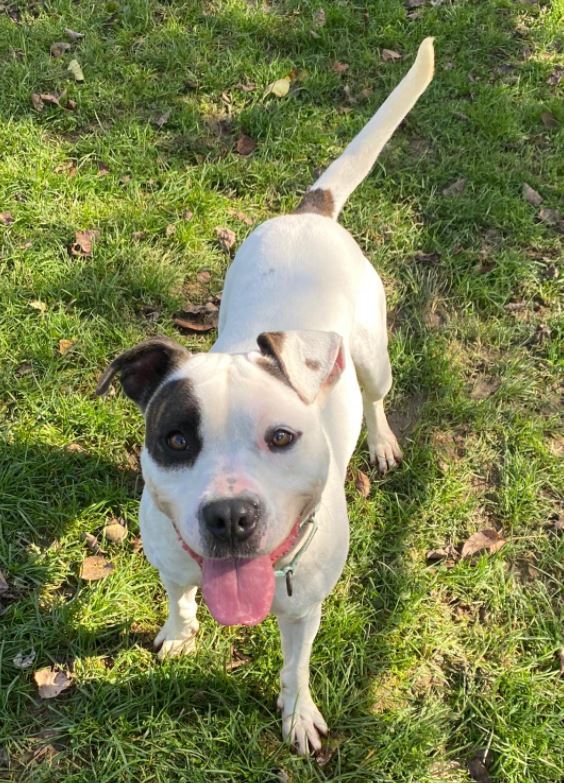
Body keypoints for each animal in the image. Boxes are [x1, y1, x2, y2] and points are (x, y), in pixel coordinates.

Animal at [97, 39, 434, 756]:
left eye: (282, 437)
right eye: (175, 439)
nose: (230, 516)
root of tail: (309, 213)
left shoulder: (304, 609)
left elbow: (295, 666)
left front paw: (297, 713)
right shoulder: (172, 562)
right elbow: (178, 597)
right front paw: (179, 634)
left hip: (372, 354)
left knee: (377, 395)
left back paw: (383, 442)